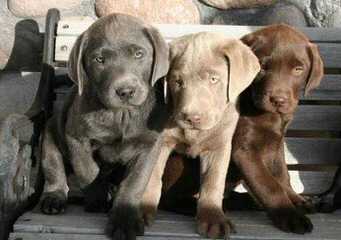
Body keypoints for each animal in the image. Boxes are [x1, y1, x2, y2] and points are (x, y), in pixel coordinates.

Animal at [39, 13, 169, 240]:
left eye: (139, 54)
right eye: (99, 59)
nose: (125, 91)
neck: (121, 115)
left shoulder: (150, 145)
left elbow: (134, 182)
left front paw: (124, 220)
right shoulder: (76, 137)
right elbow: (88, 170)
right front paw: (96, 199)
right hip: (49, 134)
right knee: (54, 169)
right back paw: (54, 197)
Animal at [139, 31, 258, 238]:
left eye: (214, 79)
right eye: (177, 82)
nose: (192, 117)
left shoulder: (219, 146)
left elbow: (213, 182)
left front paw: (213, 219)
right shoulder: (161, 141)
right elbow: (152, 176)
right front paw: (142, 208)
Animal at [230, 24, 322, 234]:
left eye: (298, 69)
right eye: (262, 67)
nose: (278, 100)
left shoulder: (276, 145)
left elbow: (282, 176)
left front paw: (297, 201)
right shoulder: (244, 150)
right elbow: (269, 184)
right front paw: (290, 216)